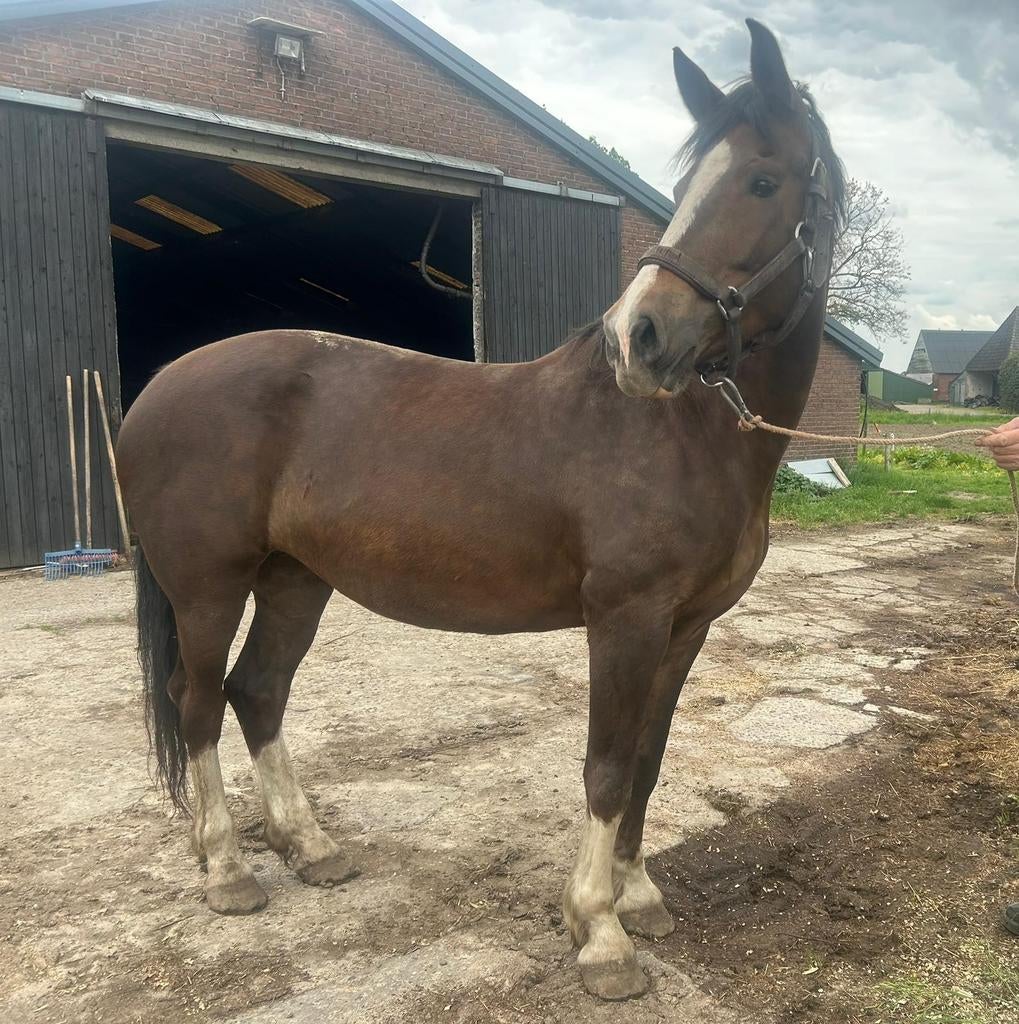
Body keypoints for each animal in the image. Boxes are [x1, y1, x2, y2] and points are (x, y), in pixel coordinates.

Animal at [117, 18, 844, 1001]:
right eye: (693, 185)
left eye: (763, 181)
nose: (639, 339)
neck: (685, 432)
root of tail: (157, 387)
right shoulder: (625, 618)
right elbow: (606, 767)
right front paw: (599, 932)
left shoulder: (685, 627)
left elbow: (648, 759)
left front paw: (640, 896)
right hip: (207, 587)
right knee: (194, 702)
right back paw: (229, 869)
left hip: (295, 580)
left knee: (256, 691)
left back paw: (309, 846)